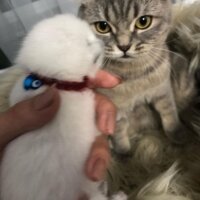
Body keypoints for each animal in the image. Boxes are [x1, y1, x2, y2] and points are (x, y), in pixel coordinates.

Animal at [0, 14, 126, 200]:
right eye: (88, 43)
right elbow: (99, 124)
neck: (55, 82)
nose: (103, 41)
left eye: (92, 35)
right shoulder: (87, 119)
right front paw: (118, 116)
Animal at [78, 0, 188, 152]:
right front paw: (125, 153)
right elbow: (119, 133)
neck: (135, 74)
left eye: (143, 22)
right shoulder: (115, 108)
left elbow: (169, 112)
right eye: (102, 27)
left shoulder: (163, 90)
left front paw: (177, 134)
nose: (124, 46)